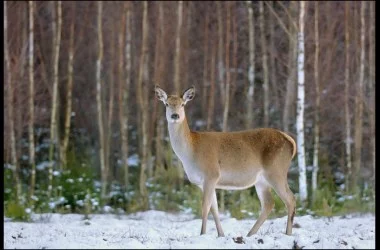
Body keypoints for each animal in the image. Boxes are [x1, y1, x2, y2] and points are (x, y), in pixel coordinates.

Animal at [154, 85, 296, 236]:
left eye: (182, 104)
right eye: (167, 104)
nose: (175, 116)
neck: (191, 152)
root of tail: (290, 141)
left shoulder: (211, 173)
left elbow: (205, 206)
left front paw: (202, 234)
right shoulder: (204, 182)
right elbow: (214, 208)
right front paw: (220, 234)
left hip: (276, 171)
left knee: (290, 199)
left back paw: (287, 233)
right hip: (262, 180)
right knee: (269, 203)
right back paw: (250, 234)